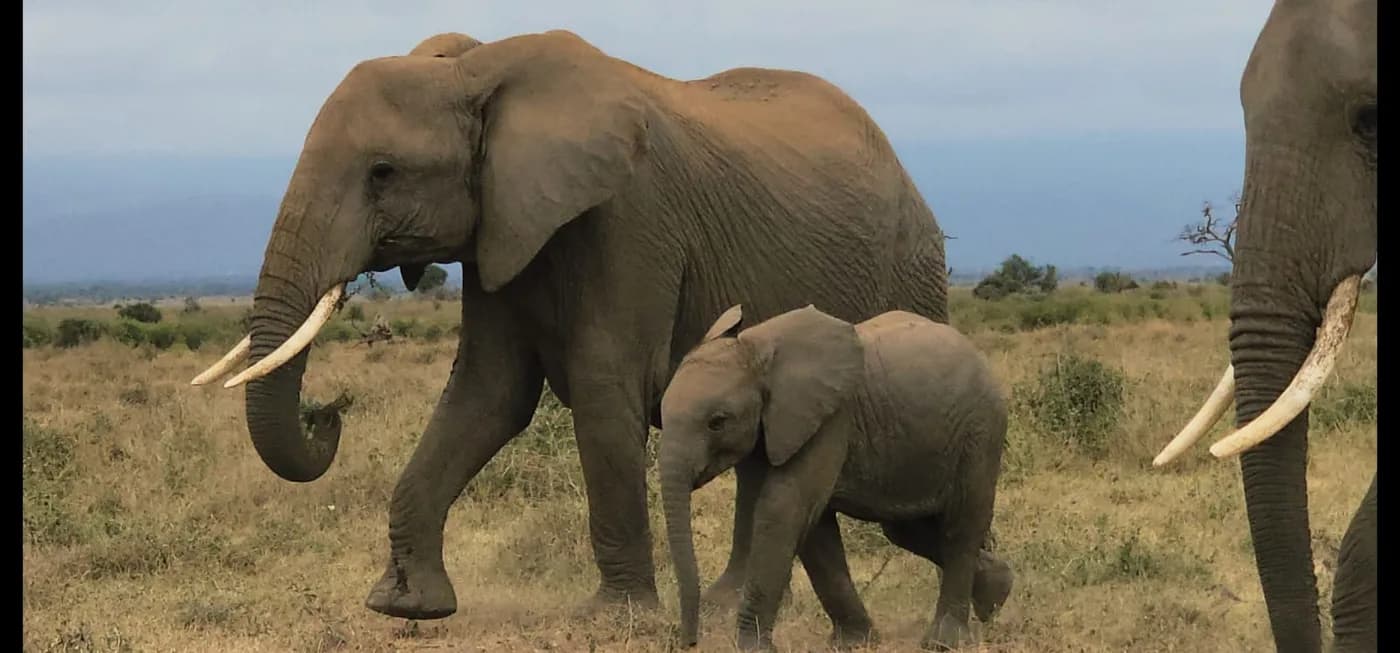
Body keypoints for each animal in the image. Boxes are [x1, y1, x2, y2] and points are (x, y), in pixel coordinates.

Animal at [188, 29, 953, 621]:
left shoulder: (631, 216)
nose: (328, 412)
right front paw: (406, 605)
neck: (477, 71)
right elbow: (488, 394)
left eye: (383, 172)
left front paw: (615, 618)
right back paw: (734, 601)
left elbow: (602, 385)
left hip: (914, 269)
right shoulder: (499, 227)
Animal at [659, 305, 1012, 651]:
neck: (757, 348)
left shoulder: (831, 420)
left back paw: (945, 641)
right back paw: (996, 592)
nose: (689, 641)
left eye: (717, 422)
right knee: (905, 530)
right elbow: (815, 530)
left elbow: (783, 511)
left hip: (980, 432)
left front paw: (750, 647)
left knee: (960, 526)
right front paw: (855, 642)